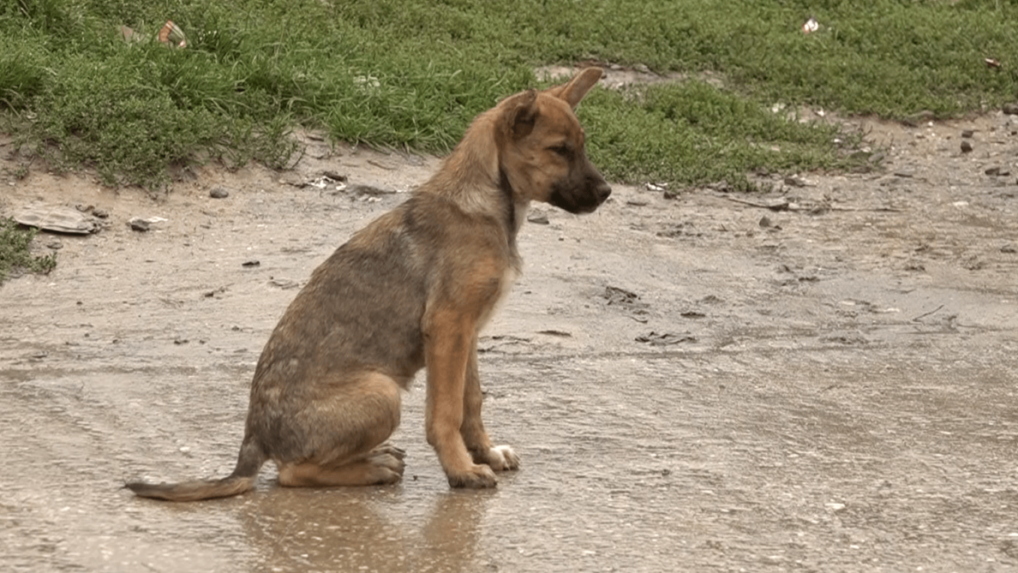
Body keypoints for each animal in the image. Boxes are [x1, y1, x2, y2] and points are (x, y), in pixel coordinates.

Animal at [123, 67, 606, 500]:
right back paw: (373, 468)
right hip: (382, 392)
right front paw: (462, 470)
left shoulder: (466, 333)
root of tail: (253, 441)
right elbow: (445, 414)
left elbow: (471, 403)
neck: (489, 203)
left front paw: (484, 453)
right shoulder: (448, 327)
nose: (607, 194)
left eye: (581, 147)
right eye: (559, 150)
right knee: (292, 473)